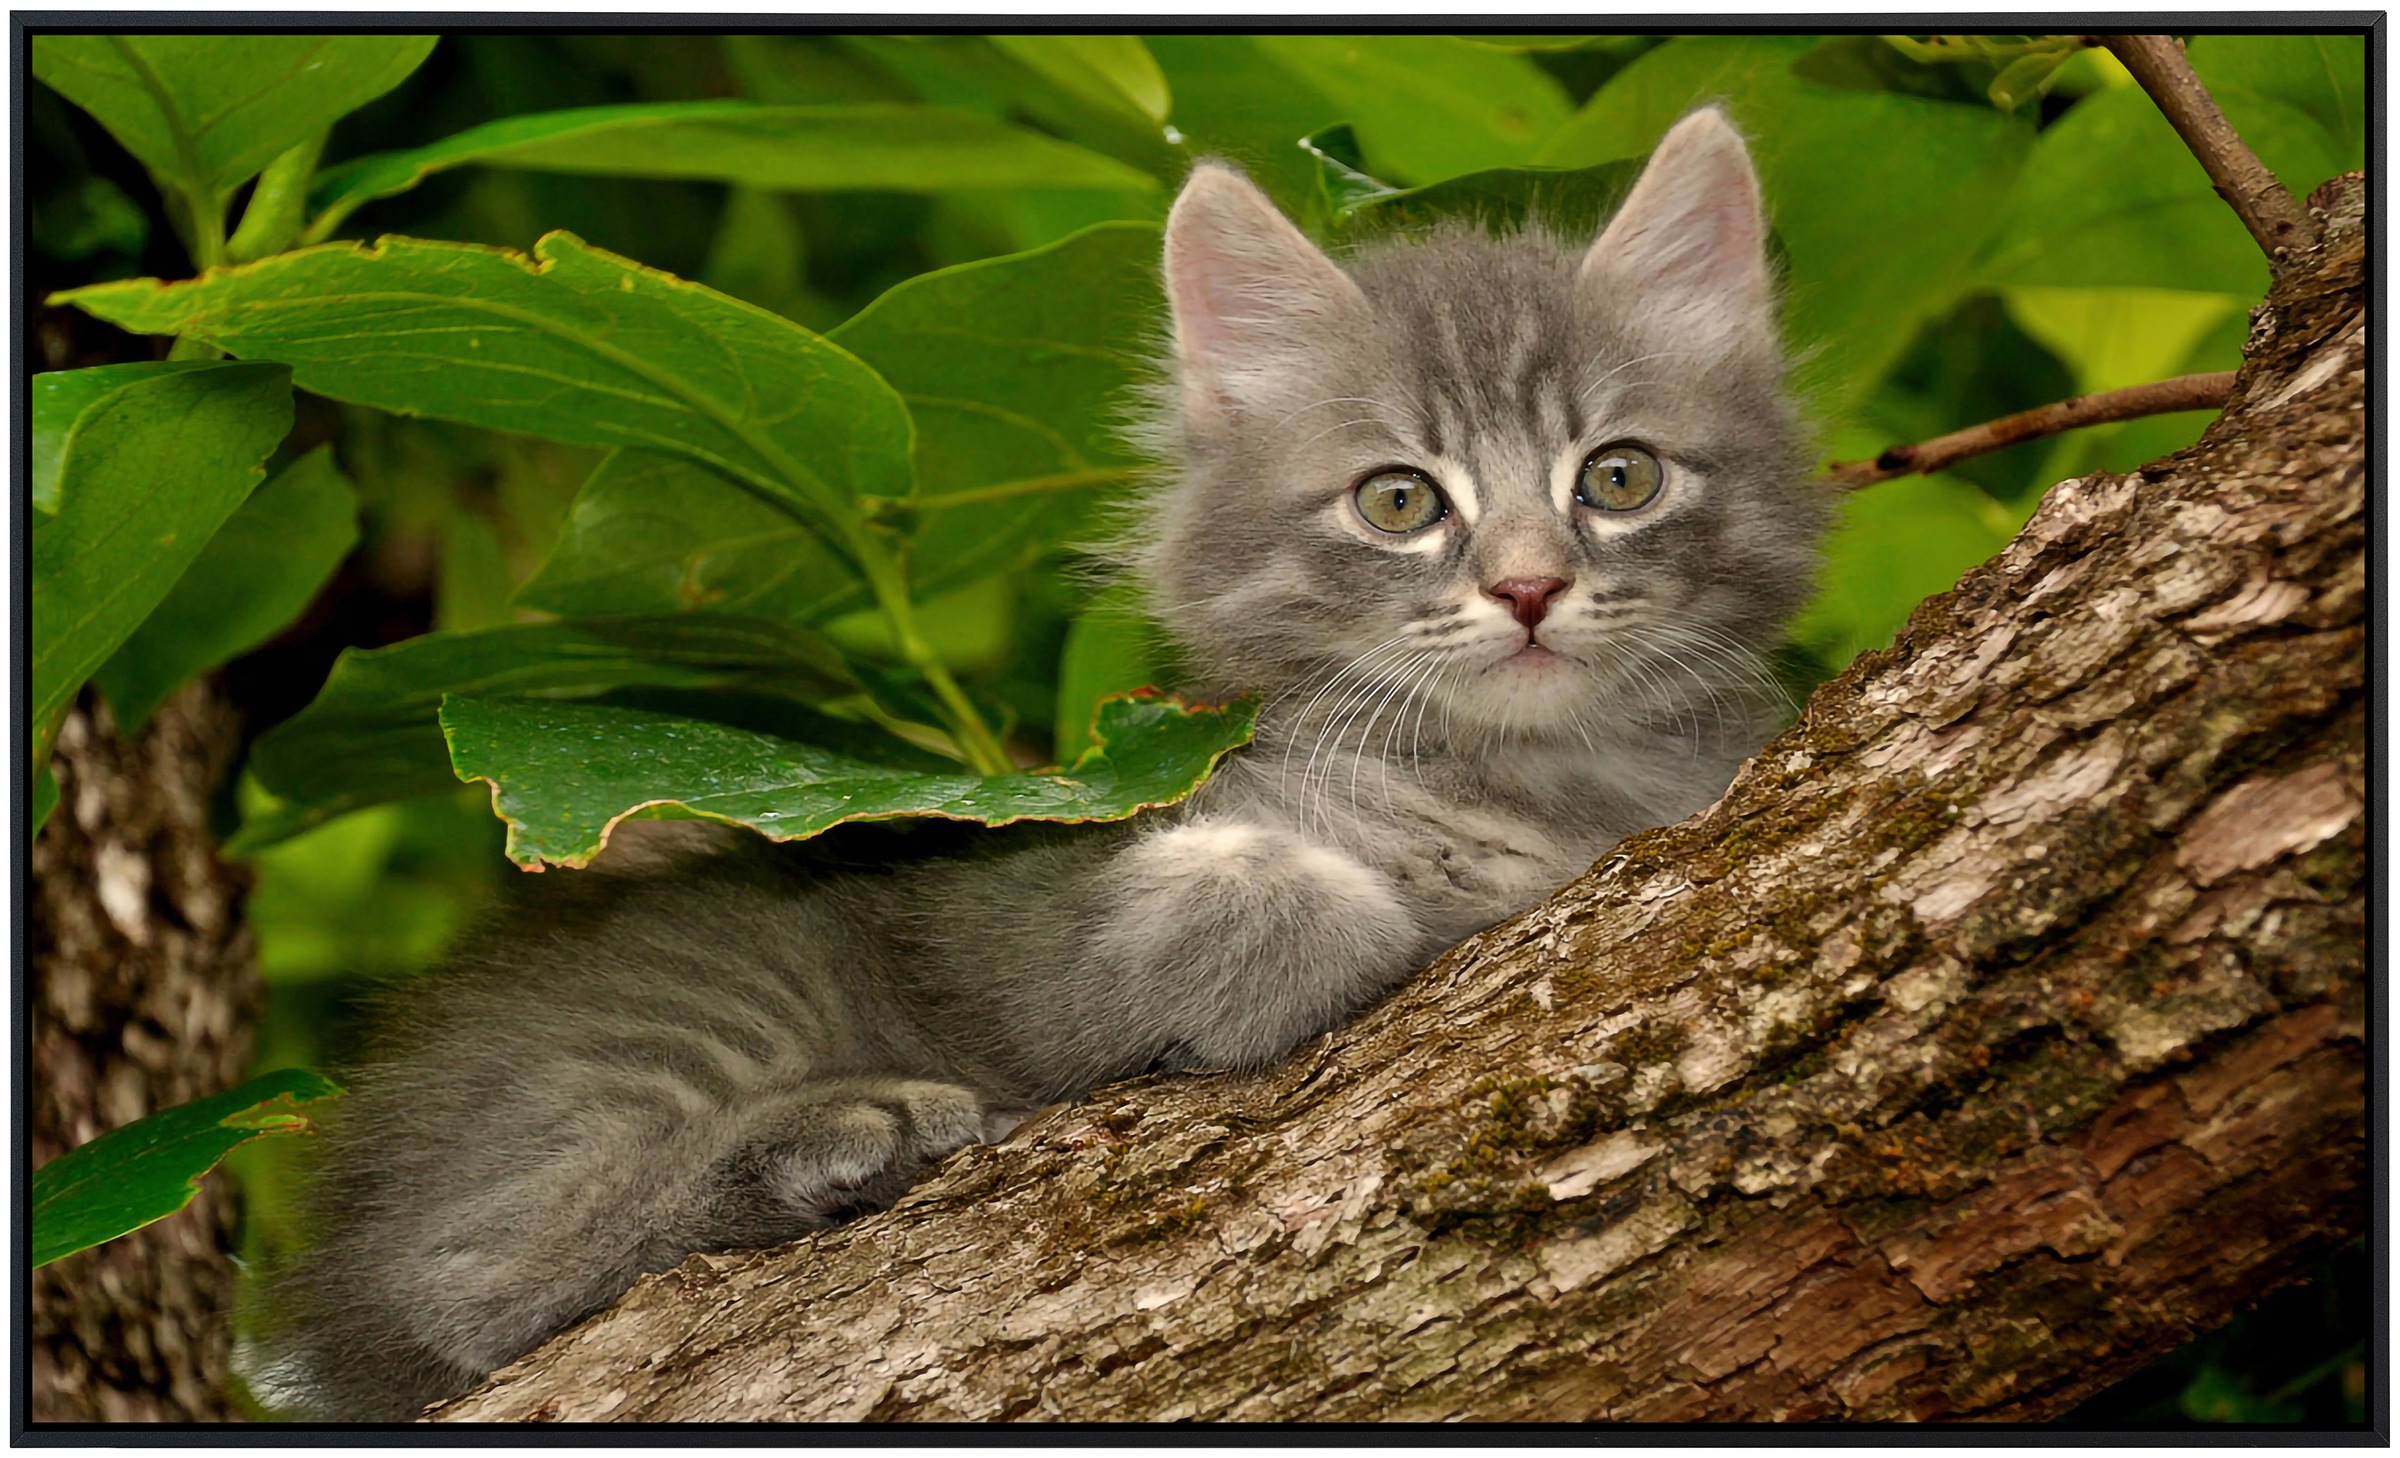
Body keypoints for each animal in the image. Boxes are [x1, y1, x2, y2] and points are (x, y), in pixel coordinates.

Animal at [238, 105, 1814, 1419]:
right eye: (1399, 501)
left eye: (1619, 476)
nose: (1532, 587)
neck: (1525, 775)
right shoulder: (1018, 891)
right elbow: (1243, 904)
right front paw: (1369, 909)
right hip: (714, 995)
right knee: (468, 1272)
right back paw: (845, 1131)